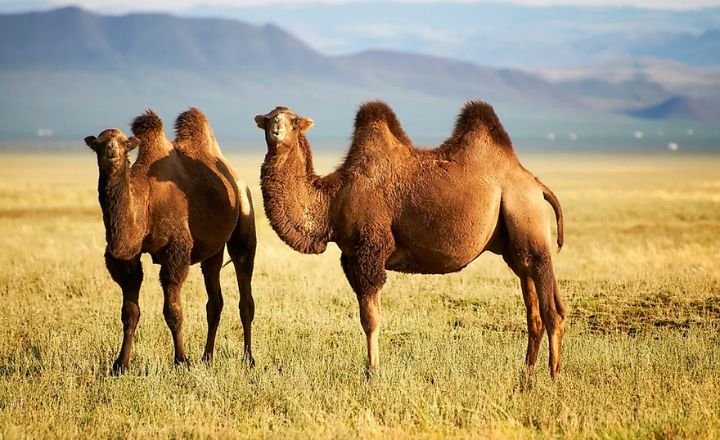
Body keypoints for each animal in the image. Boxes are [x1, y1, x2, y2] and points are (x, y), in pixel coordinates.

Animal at [85, 108, 258, 372]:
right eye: (100, 143)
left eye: (124, 144)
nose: (112, 151)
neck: (144, 201)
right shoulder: (127, 259)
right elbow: (129, 312)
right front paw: (120, 365)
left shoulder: (175, 252)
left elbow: (173, 311)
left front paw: (181, 361)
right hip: (213, 249)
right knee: (214, 301)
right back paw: (207, 357)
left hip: (244, 220)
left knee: (245, 293)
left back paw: (248, 359)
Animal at [256, 100, 564, 378]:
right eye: (269, 118)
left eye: (294, 121)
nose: (277, 131)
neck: (332, 200)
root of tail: (537, 185)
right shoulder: (350, 257)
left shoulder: (369, 251)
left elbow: (370, 319)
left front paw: (372, 372)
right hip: (516, 247)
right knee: (534, 309)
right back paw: (527, 373)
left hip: (528, 219)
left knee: (552, 310)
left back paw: (552, 376)